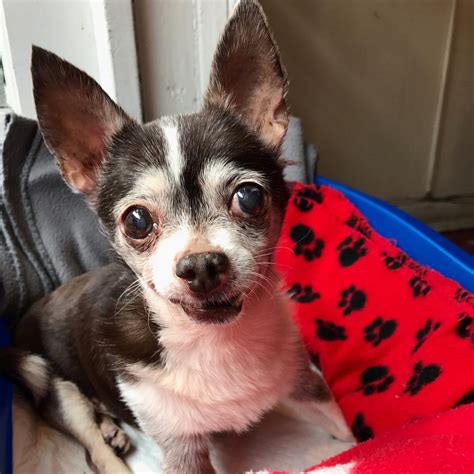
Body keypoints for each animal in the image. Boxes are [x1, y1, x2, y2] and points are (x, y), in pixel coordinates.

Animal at [0, 1, 352, 472]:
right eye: (136, 222)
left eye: (249, 197)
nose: (201, 265)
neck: (215, 342)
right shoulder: (180, 447)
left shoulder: (304, 383)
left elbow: (352, 439)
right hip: (56, 385)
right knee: (92, 449)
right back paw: (106, 437)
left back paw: (112, 426)